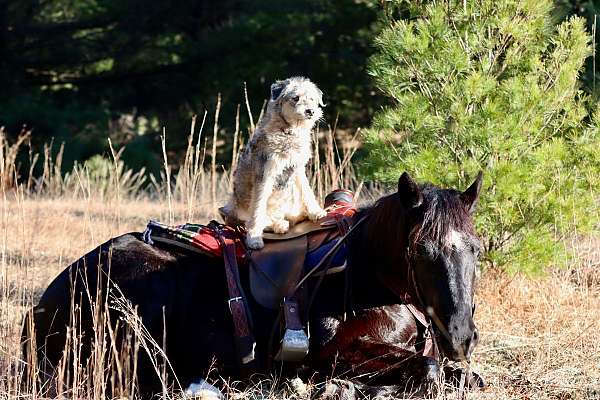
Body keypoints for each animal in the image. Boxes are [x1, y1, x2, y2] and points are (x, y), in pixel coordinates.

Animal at [21, 171, 486, 396]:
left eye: (477, 249)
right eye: (421, 251)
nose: (460, 335)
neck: (368, 277)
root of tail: (45, 301)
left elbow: (460, 374)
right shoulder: (335, 352)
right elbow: (428, 370)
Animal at [224, 76, 328, 248]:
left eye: (312, 99)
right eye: (295, 98)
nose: (310, 111)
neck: (289, 132)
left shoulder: (298, 169)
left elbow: (307, 192)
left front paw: (316, 212)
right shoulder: (265, 175)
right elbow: (258, 209)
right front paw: (254, 238)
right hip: (233, 207)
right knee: (256, 220)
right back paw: (279, 225)